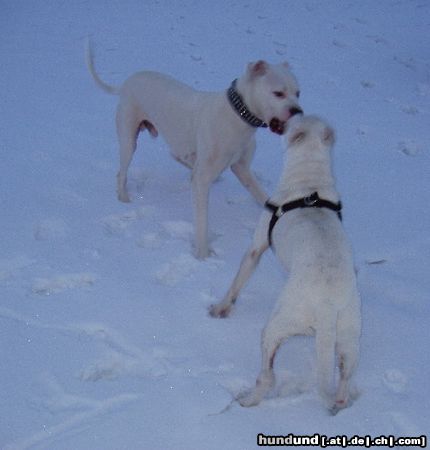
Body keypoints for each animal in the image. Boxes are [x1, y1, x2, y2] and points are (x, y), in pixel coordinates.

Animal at [85, 44, 302, 260]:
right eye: (278, 93)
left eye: (298, 93)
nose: (297, 111)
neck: (238, 116)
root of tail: (126, 82)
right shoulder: (202, 180)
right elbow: (202, 220)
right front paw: (202, 255)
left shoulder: (242, 169)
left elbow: (262, 196)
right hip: (129, 140)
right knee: (121, 172)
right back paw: (123, 198)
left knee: (178, 156)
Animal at [210, 115, 362, 412]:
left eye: (295, 118)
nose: (291, 113)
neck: (310, 186)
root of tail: (327, 306)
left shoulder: (256, 247)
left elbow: (236, 283)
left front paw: (221, 308)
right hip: (350, 339)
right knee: (343, 384)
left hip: (276, 326)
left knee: (267, 376)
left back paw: (248, 400)